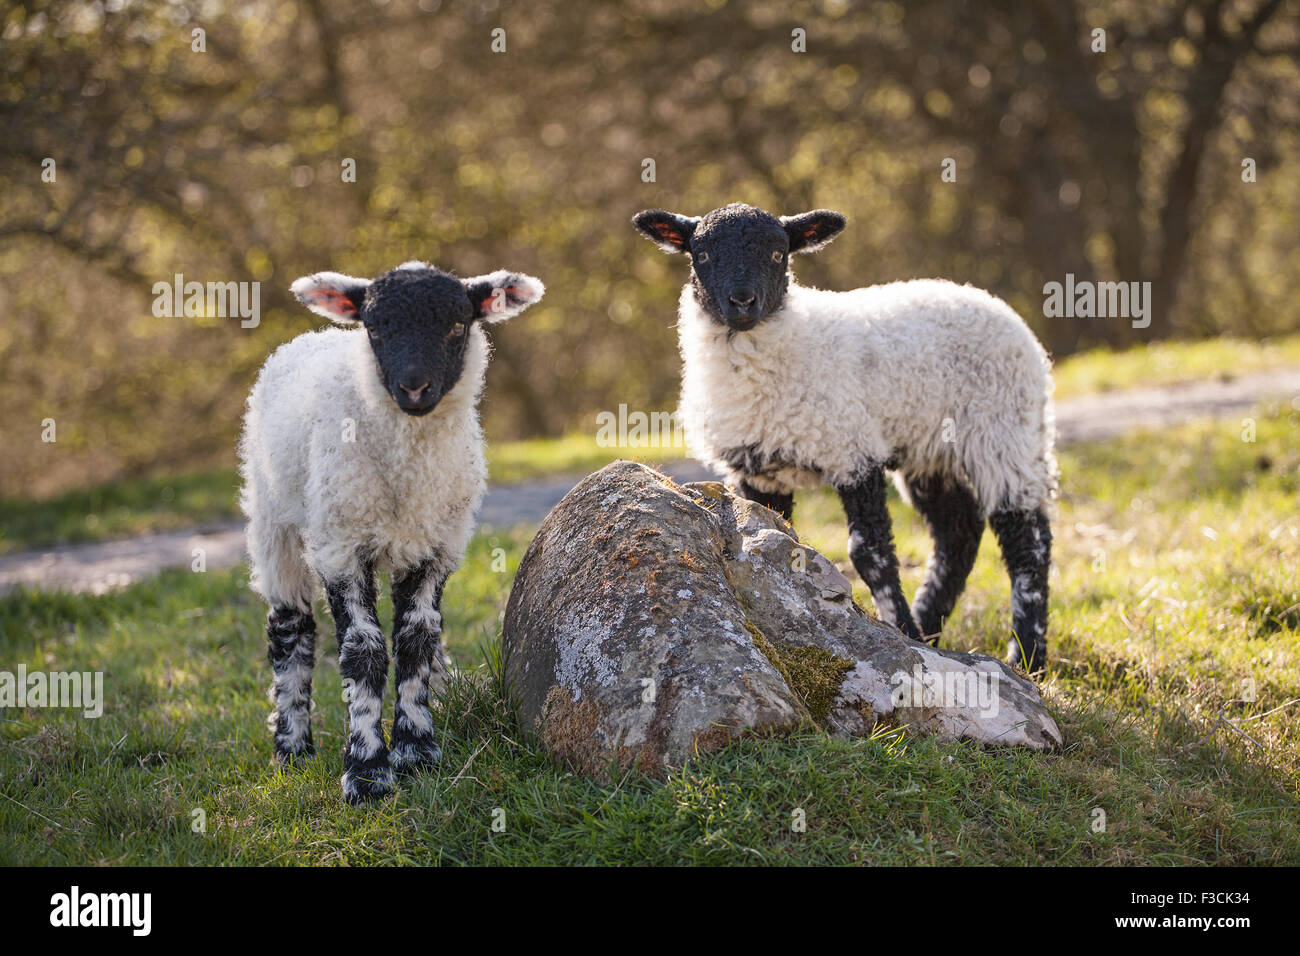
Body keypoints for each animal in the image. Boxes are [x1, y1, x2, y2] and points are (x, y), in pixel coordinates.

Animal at [239, 260, 543, 801]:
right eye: (376, 327)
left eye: (458, 325)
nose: (415, 388)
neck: (407, 469)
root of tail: (312, 336)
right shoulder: (339, 546)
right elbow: (364, 651)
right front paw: (367, 771)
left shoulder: (436, 547)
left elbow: (416, 639)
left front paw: (416, 750)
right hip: (274, 519)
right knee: (290, 627)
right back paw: (292, 747)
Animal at [631, 204, 1055, 671]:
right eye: (702, 254)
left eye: (779, 253)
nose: (742, 302)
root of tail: (988, 300)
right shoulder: (758, 473)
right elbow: (771, 535)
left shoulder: (853, 450)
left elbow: (869, 552)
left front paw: (900, 632)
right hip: (930, 447)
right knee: (957, 530)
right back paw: (930, 628)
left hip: (1004, 431)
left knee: (1027, 540)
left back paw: (1026, 655)